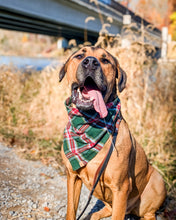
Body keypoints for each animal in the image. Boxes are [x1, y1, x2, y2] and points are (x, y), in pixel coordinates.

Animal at [59, 46, 166, 220]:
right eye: (80, 55)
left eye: (105, 60)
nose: (90, 62)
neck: (89, 123)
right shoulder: (72, 177)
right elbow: (71, 211)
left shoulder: (121, 188)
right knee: (104, 210)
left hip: (157, 182)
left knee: (148, 213)